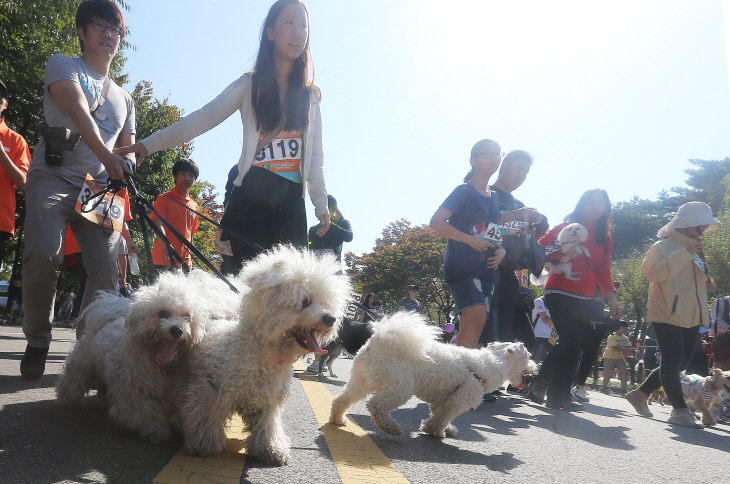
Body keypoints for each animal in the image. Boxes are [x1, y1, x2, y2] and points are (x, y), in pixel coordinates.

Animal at [57, 270, 240, 444]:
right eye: (162, 313)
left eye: (187, 317)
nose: (177, 330)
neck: (162, 364)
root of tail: (107, 318)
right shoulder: (134, 391)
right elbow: (145, 413)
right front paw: (157, 432)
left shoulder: (177, 388)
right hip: (82, 364)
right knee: (73, 380)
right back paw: (67, 400)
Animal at [178, 246, 350, 466]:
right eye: (304, 301)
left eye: (326, 302)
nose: (331, 319)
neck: (263, 355)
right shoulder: (211, 391)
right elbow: (206, 419)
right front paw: (203, 445)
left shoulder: (269, 400)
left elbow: (268, 426)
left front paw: (270, 449)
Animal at [330, 312, 536, 440]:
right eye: (528, 356)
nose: (534, 367)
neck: (490, 364)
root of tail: (379, 340)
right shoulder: (458, 400)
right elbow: (443, 418)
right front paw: (436, 431)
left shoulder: (444, 400)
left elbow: (440, 416)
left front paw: (440, 429)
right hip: (399, 386)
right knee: (376, 406)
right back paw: (392, 428)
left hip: (361, 380)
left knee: (342, 400)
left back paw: (337, 420)